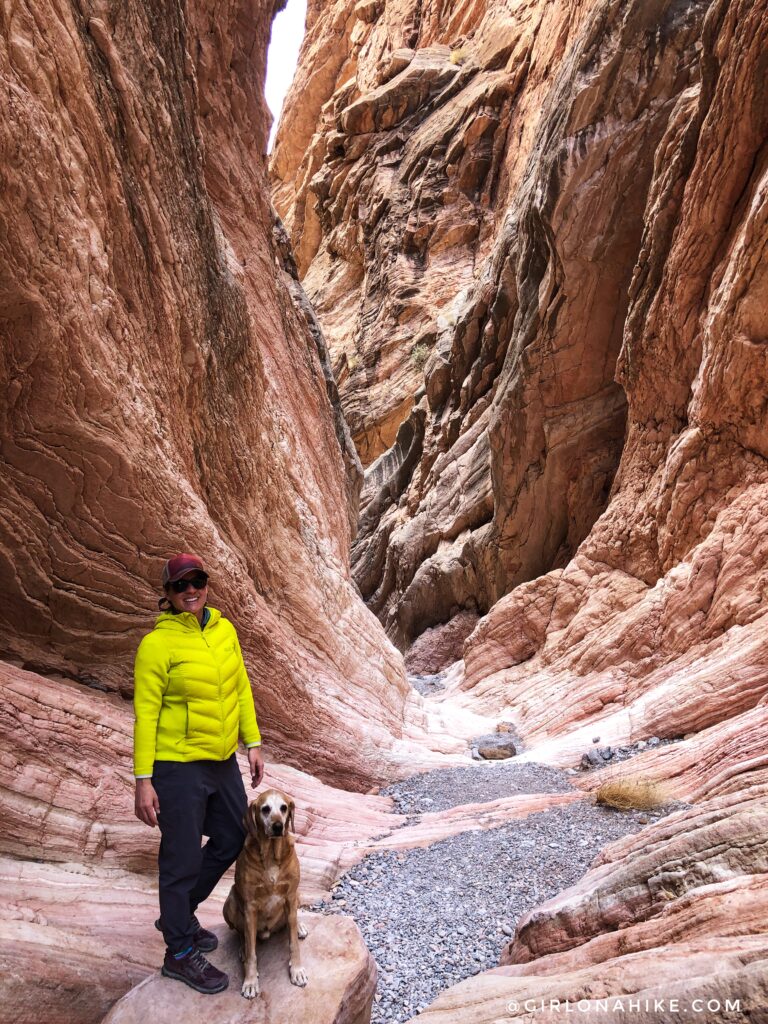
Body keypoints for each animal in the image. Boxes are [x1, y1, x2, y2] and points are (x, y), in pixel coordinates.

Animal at [224, 786, 309, 995]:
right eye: (265, 809)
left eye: (284, 808)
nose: (278, 826)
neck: (271, 853)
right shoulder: (250, 907)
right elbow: (252, 953)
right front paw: (250, 981)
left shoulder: (290, 896)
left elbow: (293, 944)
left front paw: (296, 970)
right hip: (230, 901)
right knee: (241, 934)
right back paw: (242, 949)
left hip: (297, 894)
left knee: (291, 921)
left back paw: (299, 926)